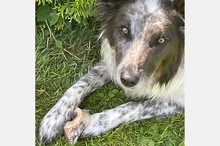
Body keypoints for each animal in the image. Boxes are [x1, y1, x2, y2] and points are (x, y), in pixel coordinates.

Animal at [39, 0, 184, 144]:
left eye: (161, 40)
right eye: (125, 30)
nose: (127, 80)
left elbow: (135, 106)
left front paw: (94, 122)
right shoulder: (115, 63)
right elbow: (82, 83)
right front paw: (53, 119)